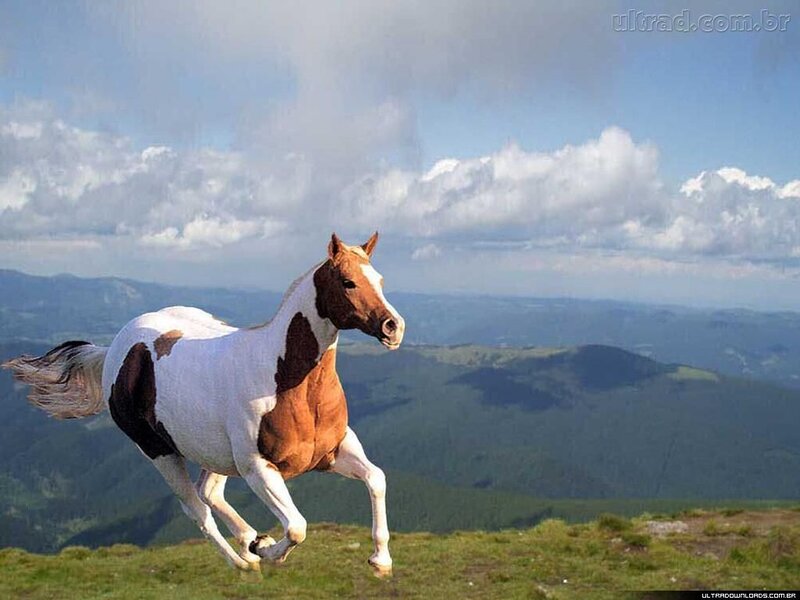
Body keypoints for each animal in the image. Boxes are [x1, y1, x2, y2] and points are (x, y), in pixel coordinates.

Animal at [2, 232, 405, 576]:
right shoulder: (258, 469)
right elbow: (297, 527)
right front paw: (267, 552)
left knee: (207, 492)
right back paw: (244, 562)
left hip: (214, 453)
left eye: (380, 280)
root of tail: (115, 348)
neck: (285, 380)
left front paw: (381, 561)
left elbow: (376, 479)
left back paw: (250, 541)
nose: (393, 327)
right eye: (348, 282)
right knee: (196, 508)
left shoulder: (335, 449)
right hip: (160, 452)